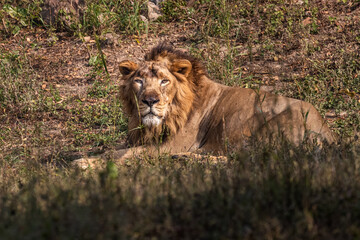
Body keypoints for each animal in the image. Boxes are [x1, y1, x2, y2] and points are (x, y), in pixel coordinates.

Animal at [71, 44, 336, 168]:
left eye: (164, 81)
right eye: (139, 81)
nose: (150, 101)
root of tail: (328, 133)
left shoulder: (169, 145)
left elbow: (125, 155)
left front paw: (84, 164)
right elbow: (113, 151)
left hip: (270, 127)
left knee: (246, 160)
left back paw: (187, 159)